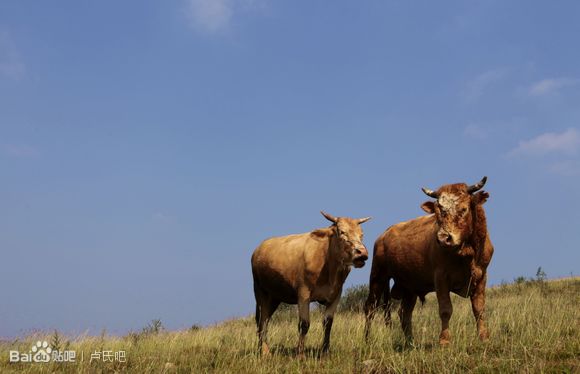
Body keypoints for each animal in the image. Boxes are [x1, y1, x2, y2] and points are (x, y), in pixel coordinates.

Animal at [250, 212, 370, 356]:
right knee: (262, 321)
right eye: (341, 232)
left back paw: (262, 349)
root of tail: (258, 249)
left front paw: (325, 352)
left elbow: (328, 324)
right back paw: (265, 352)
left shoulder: (336, 295)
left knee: (265, 320)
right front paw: (300, 354)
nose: (362, 252)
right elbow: (304, 324)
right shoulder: (303, 293)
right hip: (260, 291)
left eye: (361, 234)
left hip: (275, 297)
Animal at [362, 178, 494, 344]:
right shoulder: (441, 277)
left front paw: (484, 337)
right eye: (437, 212)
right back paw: (367, 340)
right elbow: (445, 309)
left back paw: (410, 343)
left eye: (463, 209)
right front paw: (444, 340)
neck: (467, 254)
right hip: (378, 277)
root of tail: (383, 235)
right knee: (370, 308)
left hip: (409, 286)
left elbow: (479, 308)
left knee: (404, 313)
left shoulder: (481, 275)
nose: (443, 238)